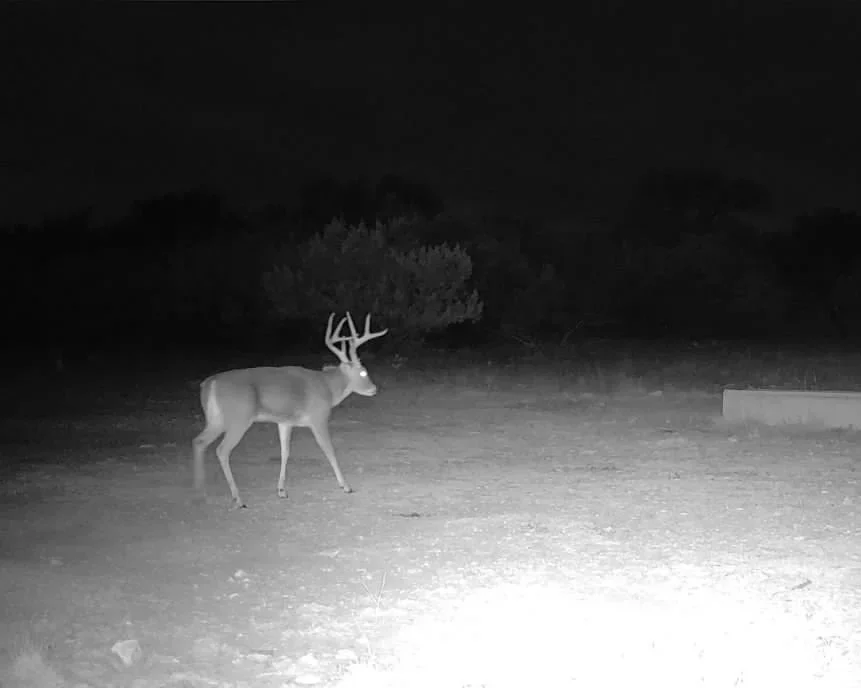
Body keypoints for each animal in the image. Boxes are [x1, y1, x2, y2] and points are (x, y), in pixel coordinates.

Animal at [192, 312, 388, 509]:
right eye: (363, 372)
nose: (374, 389)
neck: (328, 388)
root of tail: (210, 383)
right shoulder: (318, 417)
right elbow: (328, 448)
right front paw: (346, 486)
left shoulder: (285, 422)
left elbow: (284, 452)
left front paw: (281, 491)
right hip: (239, 418)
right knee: (222, 450)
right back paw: (237, 499)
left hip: (216, 419)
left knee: (198, 442)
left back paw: (201, 493)